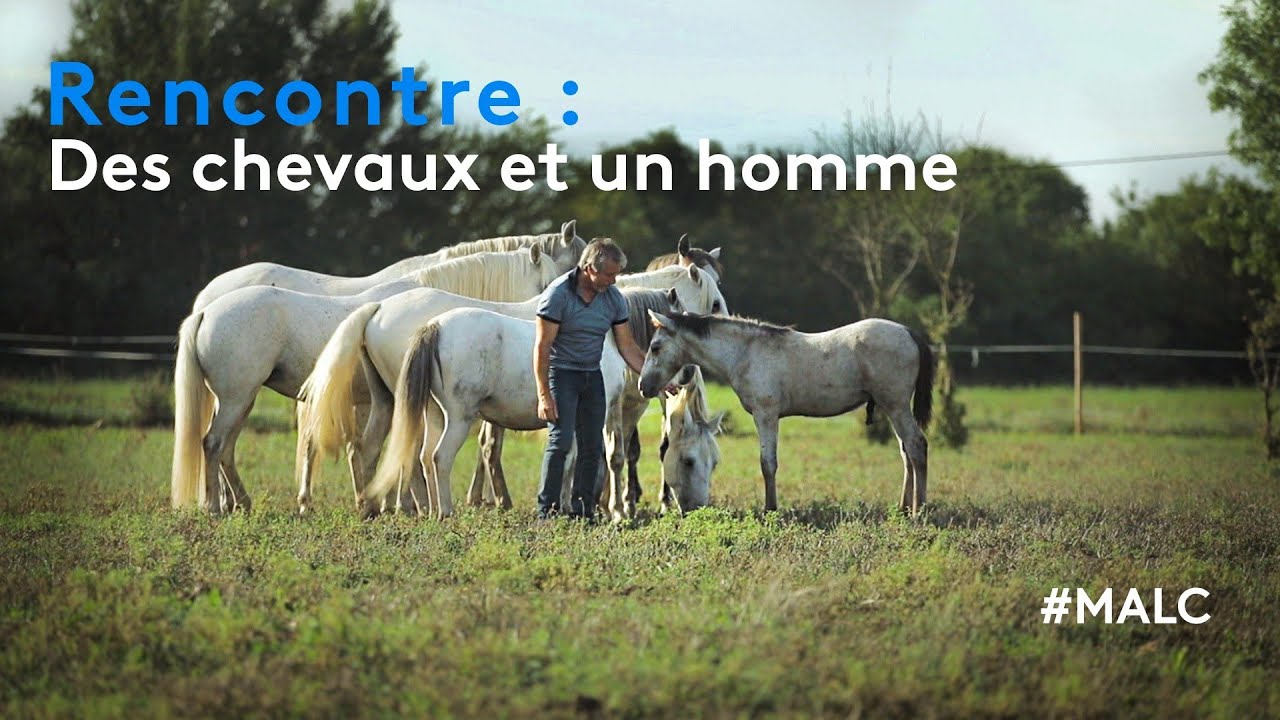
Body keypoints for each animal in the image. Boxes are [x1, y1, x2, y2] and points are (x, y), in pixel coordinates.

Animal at [170, 245, 578, 514]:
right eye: (548, 281)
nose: (546, 315)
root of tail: (205, 310)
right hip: (238, 397)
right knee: (213, 443)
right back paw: (216, 506)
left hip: (240, 398)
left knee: (225, 448)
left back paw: (240, 502)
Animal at [297, 264, 726, 514]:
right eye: (690, 460)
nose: (686, 377)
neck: (603, 339)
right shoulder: (602, 413)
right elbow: (599, 458)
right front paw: (605, 510)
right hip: (455, 417)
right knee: (435, 458)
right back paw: (440, 511)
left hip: (412, 408)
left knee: (399, 455)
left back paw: (395, 508)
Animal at [638, 312, 935, 516]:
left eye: (655, 347)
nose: (643, 386)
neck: (746, 352)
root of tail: (909, 332)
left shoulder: (766, 415)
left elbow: (768, 464)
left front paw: (770, 510)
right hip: (893, 407)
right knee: (906, 452)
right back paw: (903, 508)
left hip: (895, 405)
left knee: (917, 445)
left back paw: (918, 511)